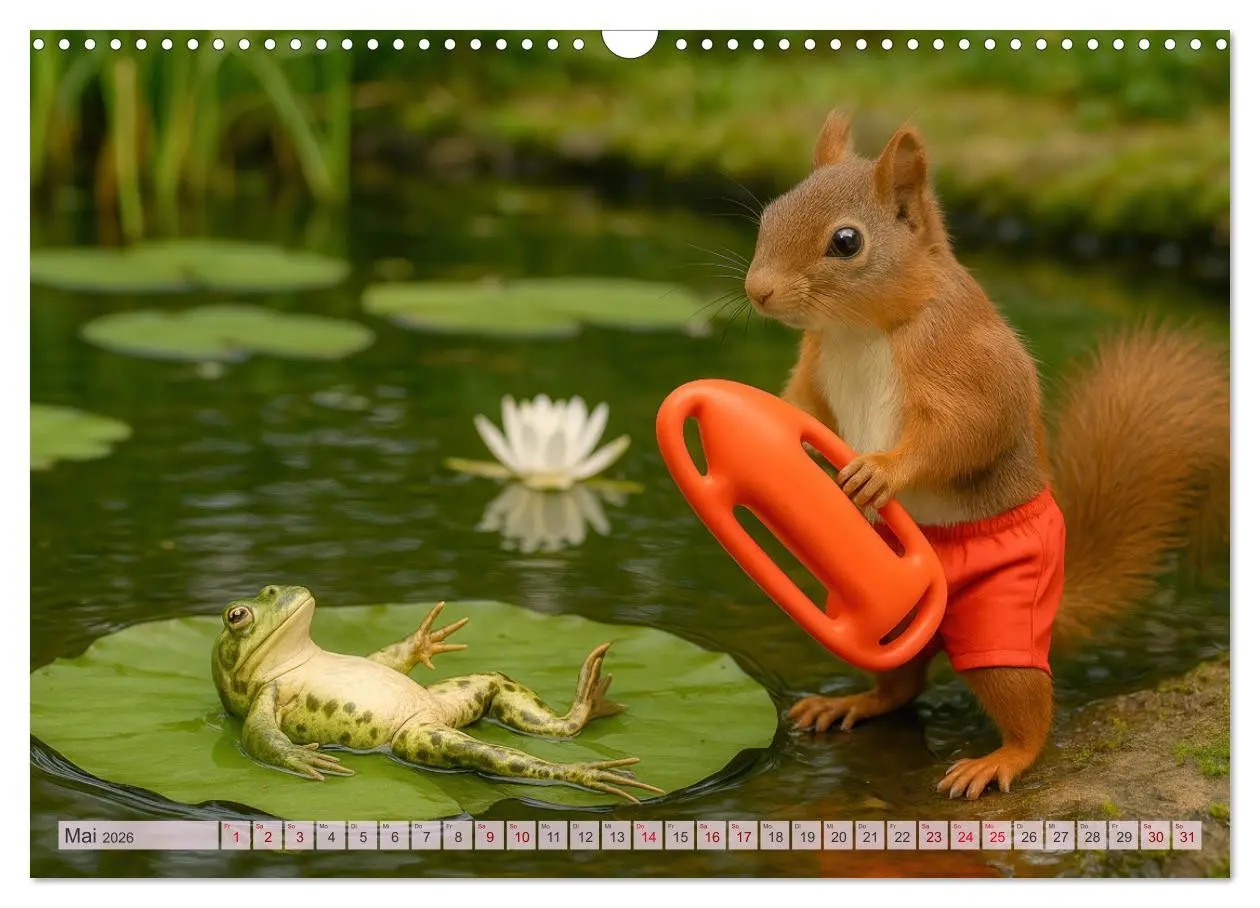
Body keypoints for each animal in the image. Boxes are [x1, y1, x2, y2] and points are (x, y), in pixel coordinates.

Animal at [742, 109, 1230, 800]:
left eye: (846, 242)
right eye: (770, 213)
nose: (757, 292)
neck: (859, 330)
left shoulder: (963, 360)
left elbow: (967, 430)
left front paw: (879, 471)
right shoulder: (815, 371)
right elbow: (802, 408)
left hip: (1004, 618)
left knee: (1028, 704)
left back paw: (1001, 759)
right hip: (885, 612)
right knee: (902, 684)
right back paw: (852, 703)